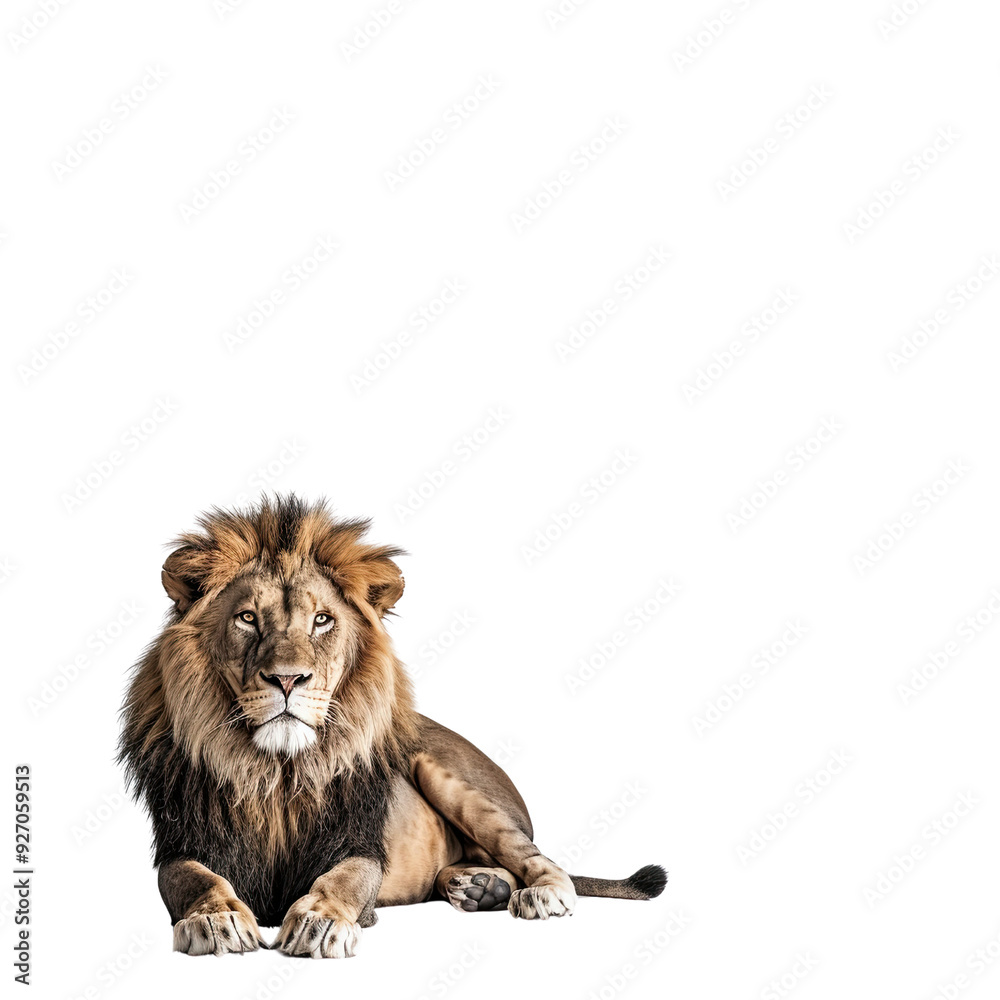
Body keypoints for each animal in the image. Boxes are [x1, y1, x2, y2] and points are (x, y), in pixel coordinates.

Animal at [118, 495, 666, 958]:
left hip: (445, 775)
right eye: (248, 618)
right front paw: (217, 919)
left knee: (540, 859)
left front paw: (320, 921)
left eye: (322, 620)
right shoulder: (182, 844)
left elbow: (342, 881)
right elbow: (195, 879)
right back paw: (478, 887)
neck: (277, 772)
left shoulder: (358, 844)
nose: (288, 679)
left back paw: (536, 894)